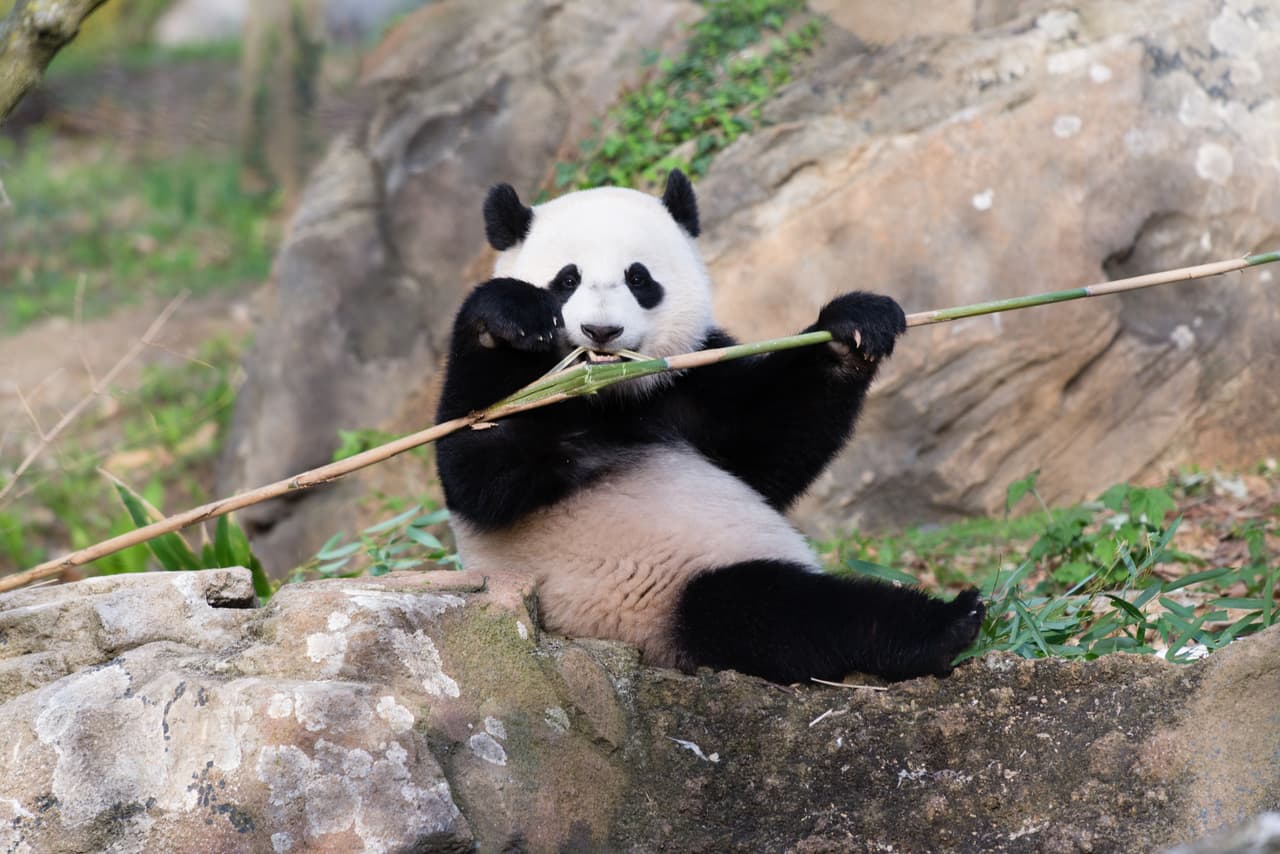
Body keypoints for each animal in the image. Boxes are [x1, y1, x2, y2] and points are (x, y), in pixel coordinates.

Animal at [435, 170, 984, 685]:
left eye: (639, 279)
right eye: (566, 279)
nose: (601, 331)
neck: (613, 392)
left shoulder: (691, 379)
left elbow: (767, 446)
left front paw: (853, 327)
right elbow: (480, 463)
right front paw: (507, 319)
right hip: (653, 598)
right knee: (776, 612)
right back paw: (945, 624)